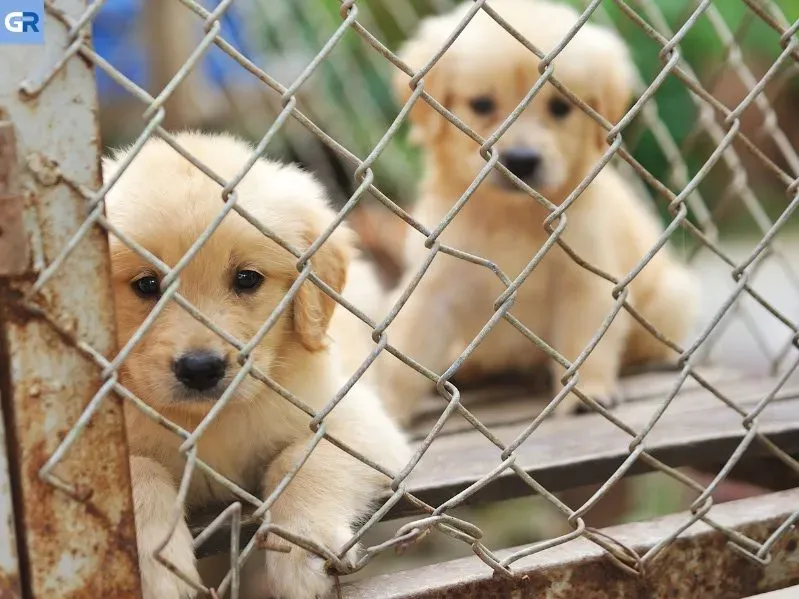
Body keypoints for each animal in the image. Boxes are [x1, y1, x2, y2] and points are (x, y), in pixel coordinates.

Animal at [103, 132, 410, 599]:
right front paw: (152, 566)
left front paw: (303, 547)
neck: (208, 421)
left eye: (247, 279)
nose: (200, 369)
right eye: (146, 284)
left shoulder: (351, 419)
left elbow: (302, 462)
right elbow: (139, 470)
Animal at [384, 0, 696, 424]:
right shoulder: (434, 286)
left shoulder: (586, 280)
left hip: (671, 297)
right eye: (481, 104)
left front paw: (587, 391)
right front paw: (383, 408)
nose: (521, 161)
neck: (513, 214)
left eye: (560, 107)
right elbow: (403, 358)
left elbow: (585, 341)